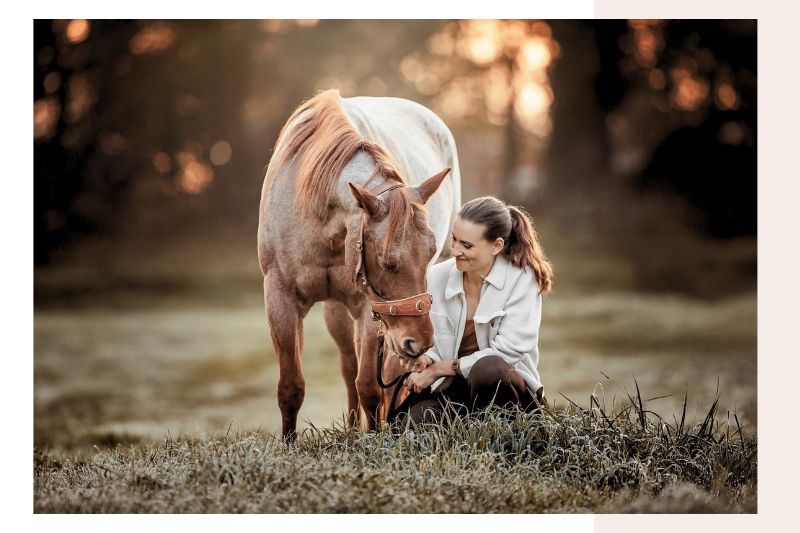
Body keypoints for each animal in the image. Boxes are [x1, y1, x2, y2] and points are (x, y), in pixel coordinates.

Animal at [257, 89, 462, 440]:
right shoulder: (280, 297)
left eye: (430, 254)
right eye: (387, 263)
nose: (421, 340)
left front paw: (377, 438)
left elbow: (370, 386)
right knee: (349, 363)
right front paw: (289, 444)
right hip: (342, 313)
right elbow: (291, 387)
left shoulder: (371, 308)